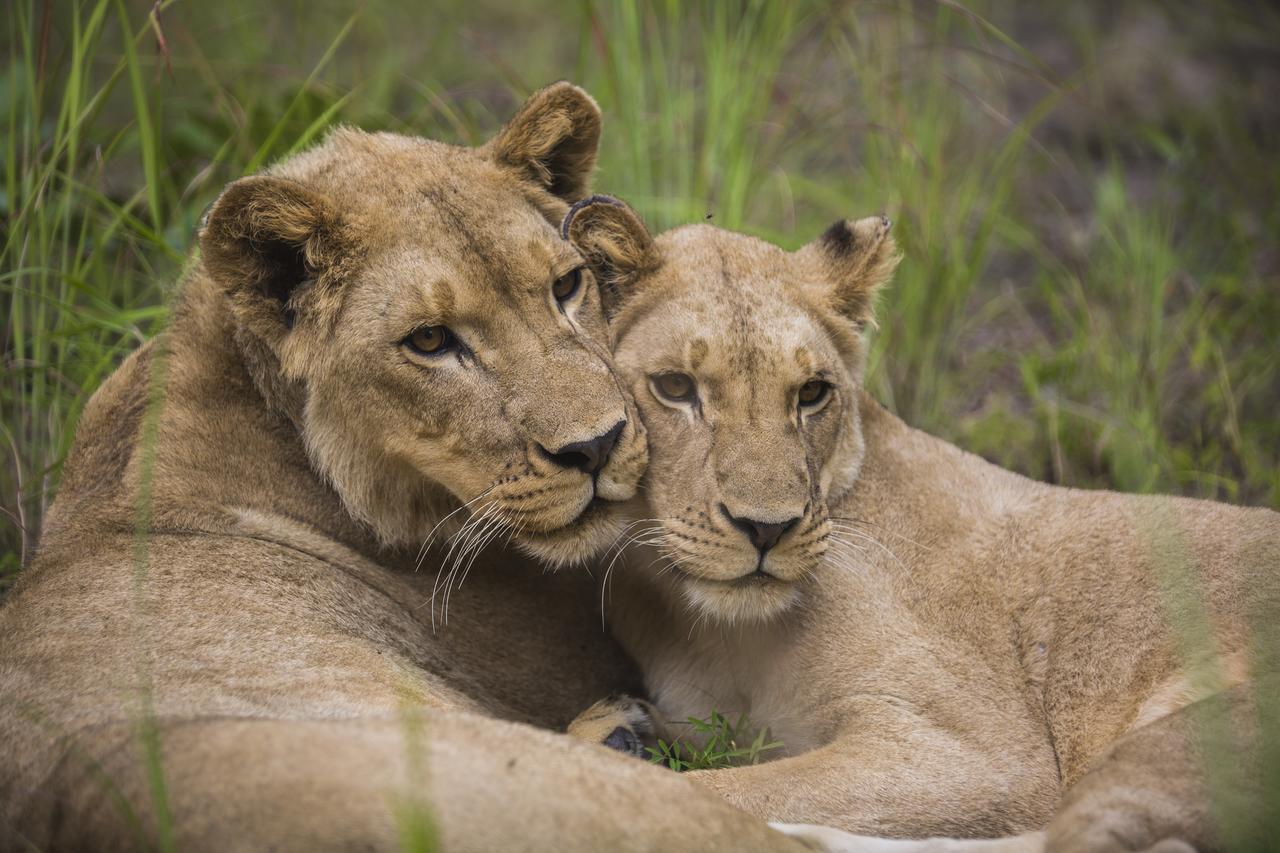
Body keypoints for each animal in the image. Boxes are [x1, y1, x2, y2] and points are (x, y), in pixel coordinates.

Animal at [563, 195, 1280, 850]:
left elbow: (709, 792)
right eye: (675, 387)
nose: (767, 529)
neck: (712, 630)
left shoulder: (978, 754)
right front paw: (625, 728)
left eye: (811, 393)